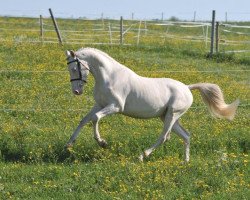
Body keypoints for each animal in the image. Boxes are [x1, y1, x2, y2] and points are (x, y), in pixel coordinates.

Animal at [65, 47, 239, 162]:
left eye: (74, 68)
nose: (76, 91)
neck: (109, 77)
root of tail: (187, 88)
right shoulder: (99, 104)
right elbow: (84, 120)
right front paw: (69, 144)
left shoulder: (115, 107)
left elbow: (95, 118)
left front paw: (102, 143)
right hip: (167, 116)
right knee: (186, 135)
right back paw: (185, 162)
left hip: (172, 115)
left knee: (164, 137)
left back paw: (143, 155)